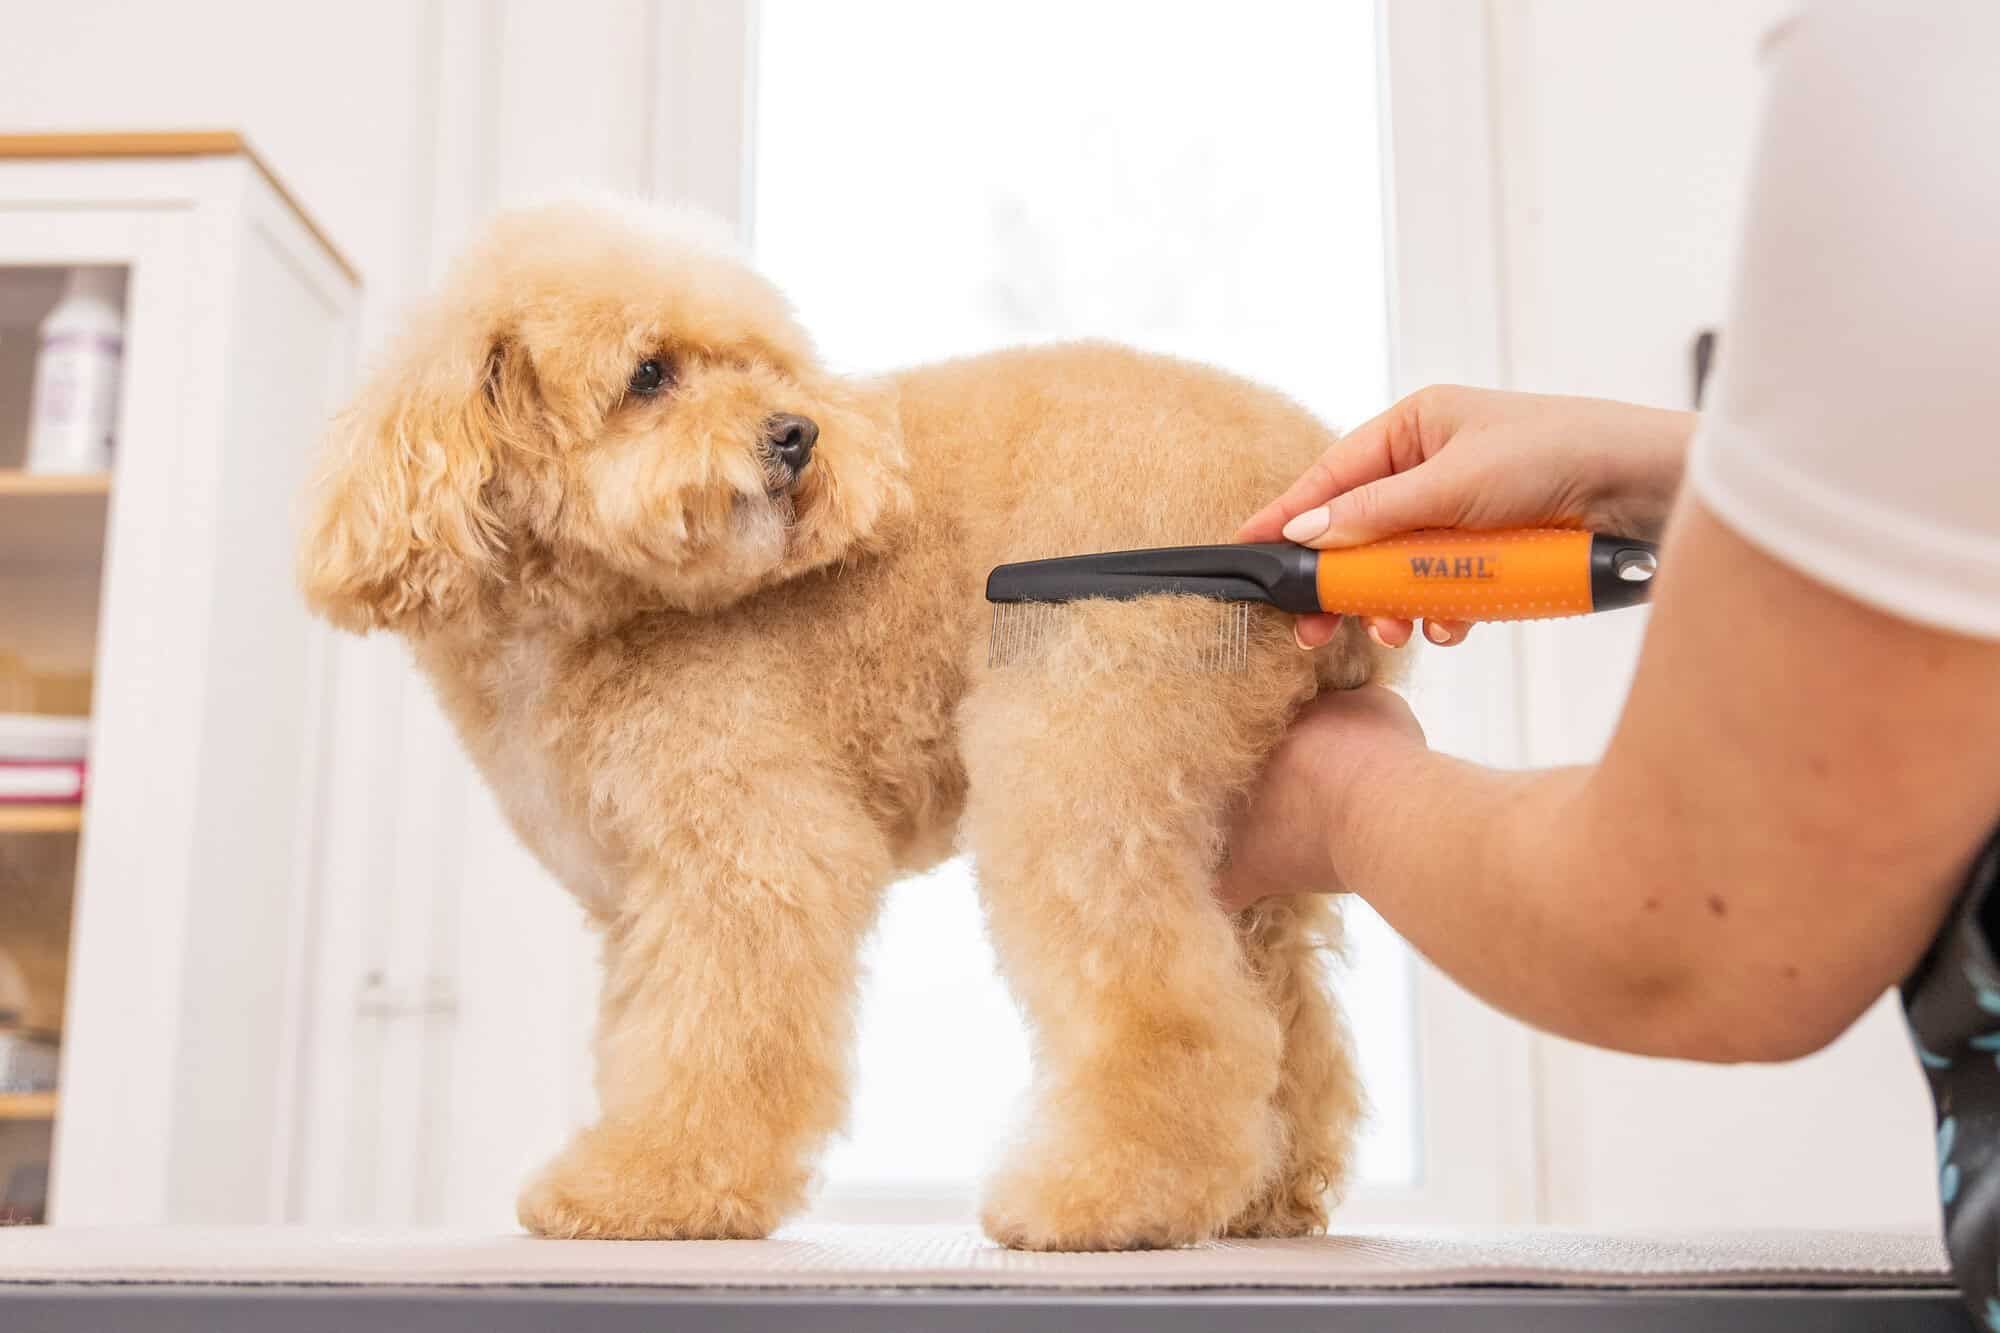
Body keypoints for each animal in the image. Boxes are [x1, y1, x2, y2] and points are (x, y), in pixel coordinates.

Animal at [299, 198, 1384, 1250]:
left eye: (759, 363)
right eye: (650, 373)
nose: (794, 434)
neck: (608, 611)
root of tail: (1302, 476)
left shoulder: (753, 856)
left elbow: (716, 1040)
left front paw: (649, 1189)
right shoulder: (642, 893)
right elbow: (644, 1039)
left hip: (1079, 742)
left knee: (1180, 1009)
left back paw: (1107, 1203)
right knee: (1287, 1019)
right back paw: (1264, 1194)